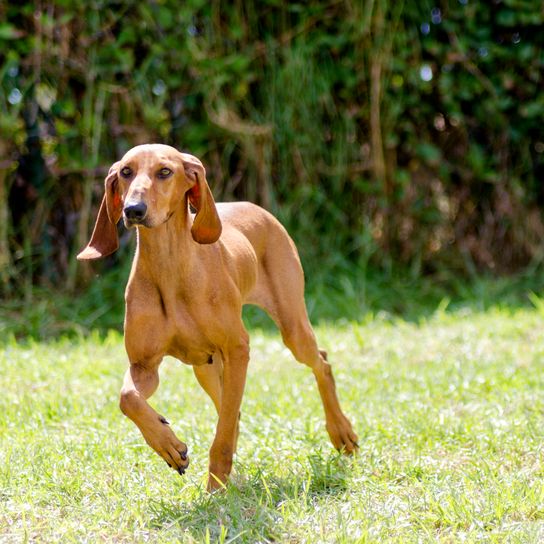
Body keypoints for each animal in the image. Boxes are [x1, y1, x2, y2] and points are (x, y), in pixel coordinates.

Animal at [76, 143, 356, 488]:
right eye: (126, 172)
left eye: (164, 171)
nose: (133, 210)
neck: (170, 269)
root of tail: (253, 206)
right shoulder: (144, 366)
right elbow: (128, 398)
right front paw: (169, 445)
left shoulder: (237, 350)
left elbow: (222, 432)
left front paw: (216, 487)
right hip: (205, 367)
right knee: (229, 409)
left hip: (292, 328)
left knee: (321, 362)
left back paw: (342, 432)